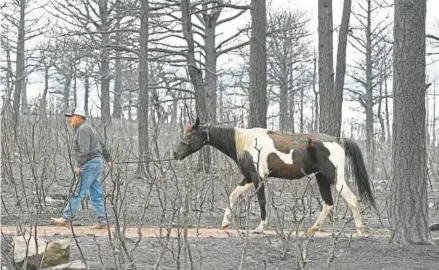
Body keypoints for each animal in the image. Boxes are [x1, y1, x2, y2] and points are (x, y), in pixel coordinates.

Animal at [174, 117, 376, 234]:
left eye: (191, 136)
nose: (175, 154)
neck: (246, 144)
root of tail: (338, 140)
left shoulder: (258, 178)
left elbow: (262, 201)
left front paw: (260, 227)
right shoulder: (249, 178)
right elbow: (233, 195)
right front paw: (225, 223)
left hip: (335, 178)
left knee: (351, 199)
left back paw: (359, 231)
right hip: (322, 179)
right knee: (328, 203)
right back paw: (313, 229)